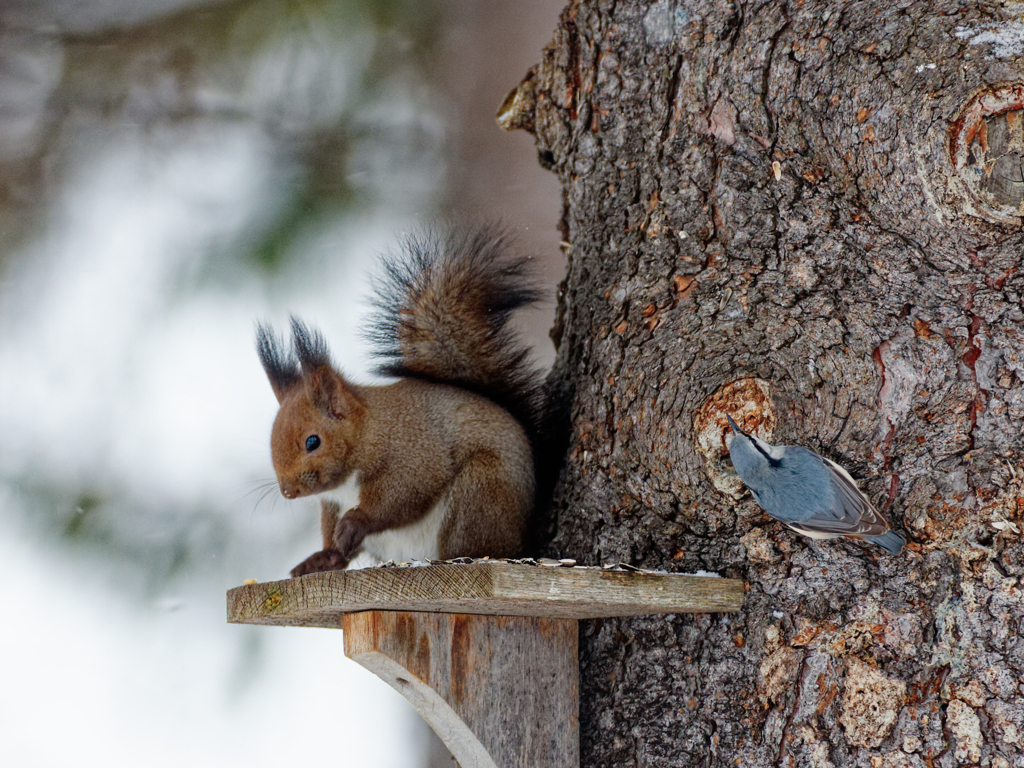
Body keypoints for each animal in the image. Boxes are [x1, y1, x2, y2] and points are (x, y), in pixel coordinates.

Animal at [256, 227, 544, 577]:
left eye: (313, 441)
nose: (288, 491)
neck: (368, 431)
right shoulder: (333, 502)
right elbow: (332, 531)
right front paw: (326, 554)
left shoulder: (411, 451)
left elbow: (406, 492)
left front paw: (356, 522)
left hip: (480, 490)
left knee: (475, 546)